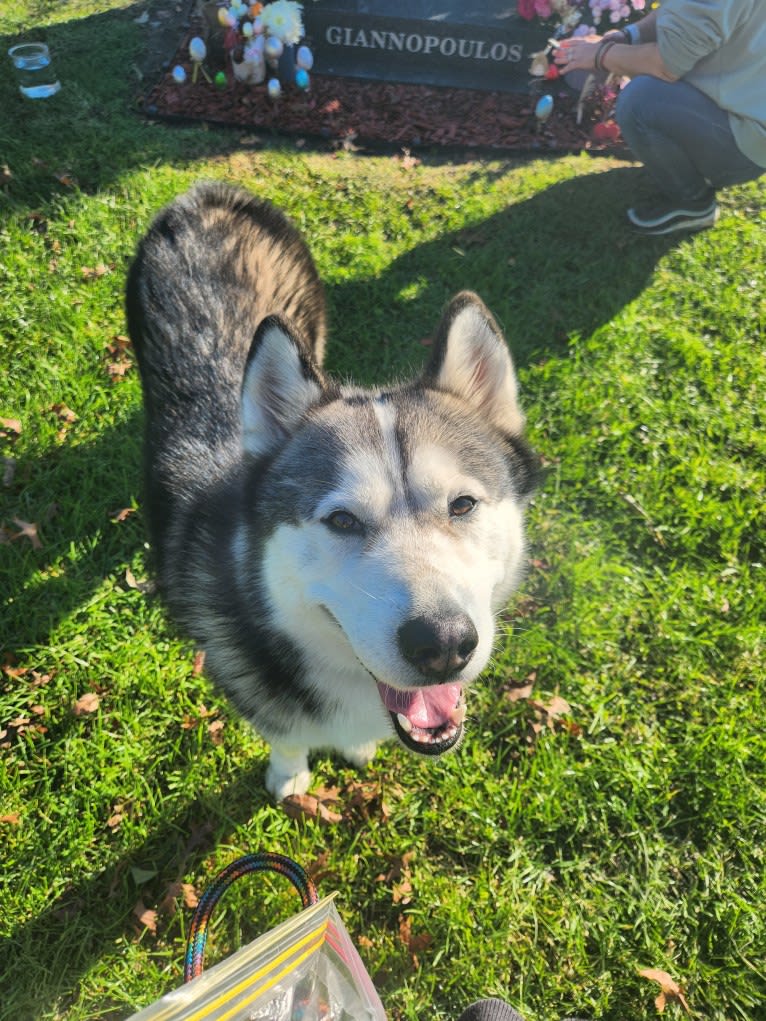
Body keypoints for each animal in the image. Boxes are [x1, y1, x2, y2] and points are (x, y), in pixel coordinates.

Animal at [127, 185, 539, 804]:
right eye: (342, 520)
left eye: (462, 505)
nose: (442, 643)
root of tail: (205, 192)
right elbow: (285, 735)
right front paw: (289, 773)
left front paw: (354, 748)